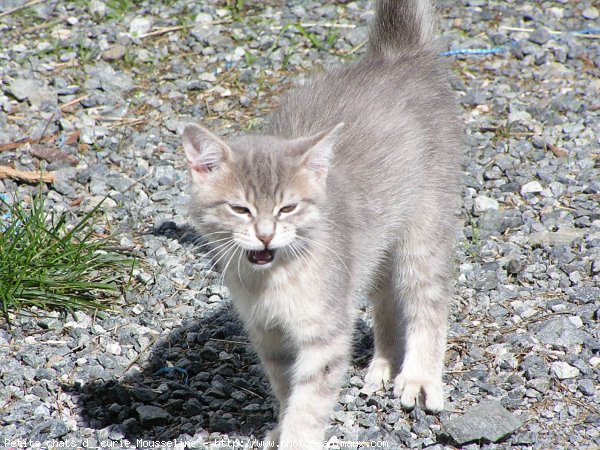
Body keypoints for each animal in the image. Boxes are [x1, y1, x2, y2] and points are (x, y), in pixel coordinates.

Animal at [180, 0, 462, 444]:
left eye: (287, 209)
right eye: (241, 209)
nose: (265, 236)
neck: (272, 281)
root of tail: (396, 56)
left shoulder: (325, 335)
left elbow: (309, 403)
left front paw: (295, 437)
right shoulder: (269, 335)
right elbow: (285, 387)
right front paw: (280, 426)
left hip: (425, 228)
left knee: (426, 299)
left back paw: (418, 377)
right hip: (374, 246)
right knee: (386, 297)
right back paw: (384, 364)